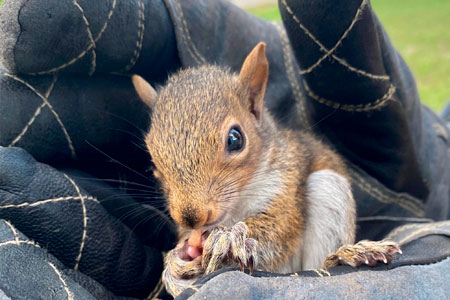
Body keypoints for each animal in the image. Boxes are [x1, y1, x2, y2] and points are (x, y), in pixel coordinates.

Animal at [131, 42, 400, 298]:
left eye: (235, 139)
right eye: (153, 162)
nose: (191, 217)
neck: (237, 205)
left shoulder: (287, 185)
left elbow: (280, 227)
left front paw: (229, 237)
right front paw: (176, 260)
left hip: (329, 188)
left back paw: (351, 253)